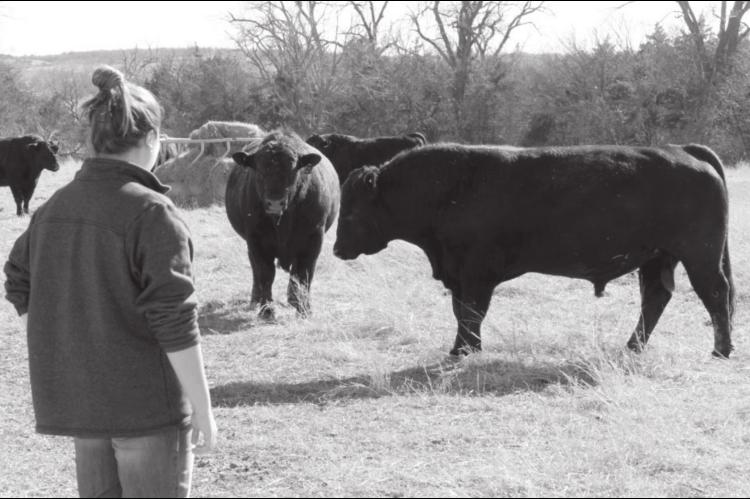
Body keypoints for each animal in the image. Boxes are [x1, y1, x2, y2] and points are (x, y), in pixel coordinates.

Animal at [226, 130, 340, 319]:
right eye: (259, 170)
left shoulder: (314, 238)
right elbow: (265, 274)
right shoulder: (256, 240)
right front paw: (267, 311)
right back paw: (255, 300)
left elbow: (304, 273)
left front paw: (304, 308)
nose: (275, 203)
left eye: (293, 170)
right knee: (256, 271)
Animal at [333, 143, 734, 358]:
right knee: (655, 299)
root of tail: (682, 149)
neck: (451, 188)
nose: (337, 249)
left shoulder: (475, 274)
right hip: (656, 258)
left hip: (698, 257)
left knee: (716, 294)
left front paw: (466, 350)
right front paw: (461, 348)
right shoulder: (458, 276)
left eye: (351, 211)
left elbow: (472, 312)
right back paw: (632, 347)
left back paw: (721, 350)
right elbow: (461, 312)